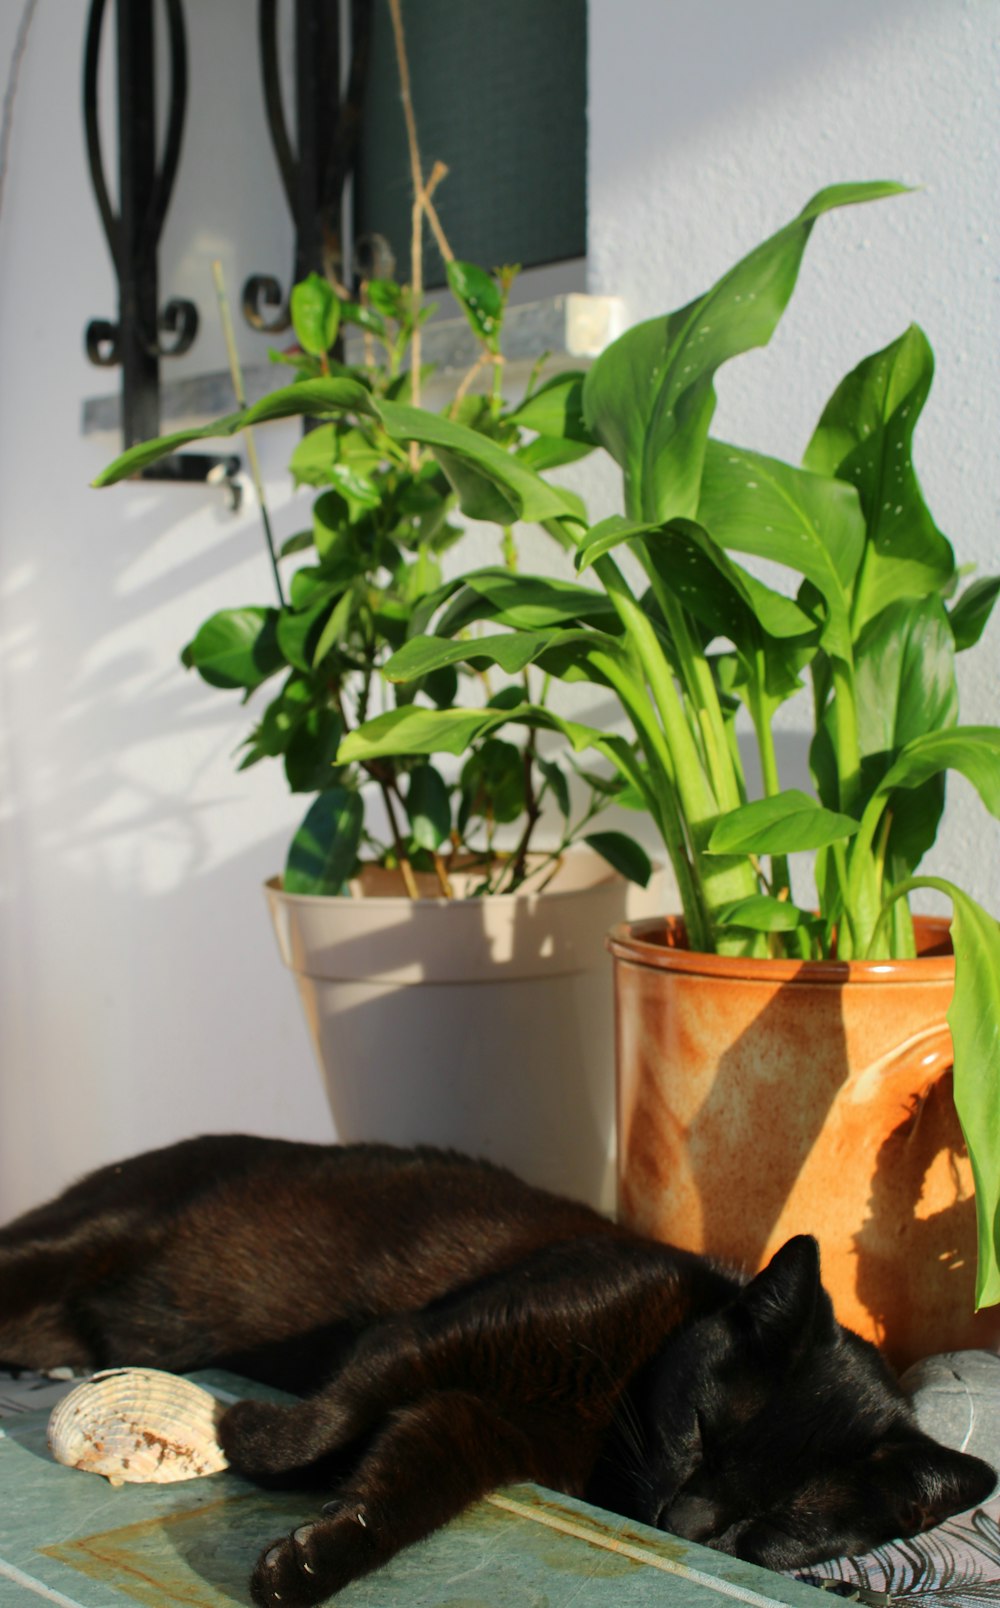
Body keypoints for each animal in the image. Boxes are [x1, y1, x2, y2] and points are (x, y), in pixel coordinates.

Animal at [0, 1132, 996, 1608]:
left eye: (777, 1522)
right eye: (704, 1430)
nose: (684, 1522)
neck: (607, 1418)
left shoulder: (473, 1424)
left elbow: (399, 1492)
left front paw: (311, 1563)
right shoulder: (448, 1336)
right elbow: (340, 1408)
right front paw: (251, 1436)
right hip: (86, 1240)